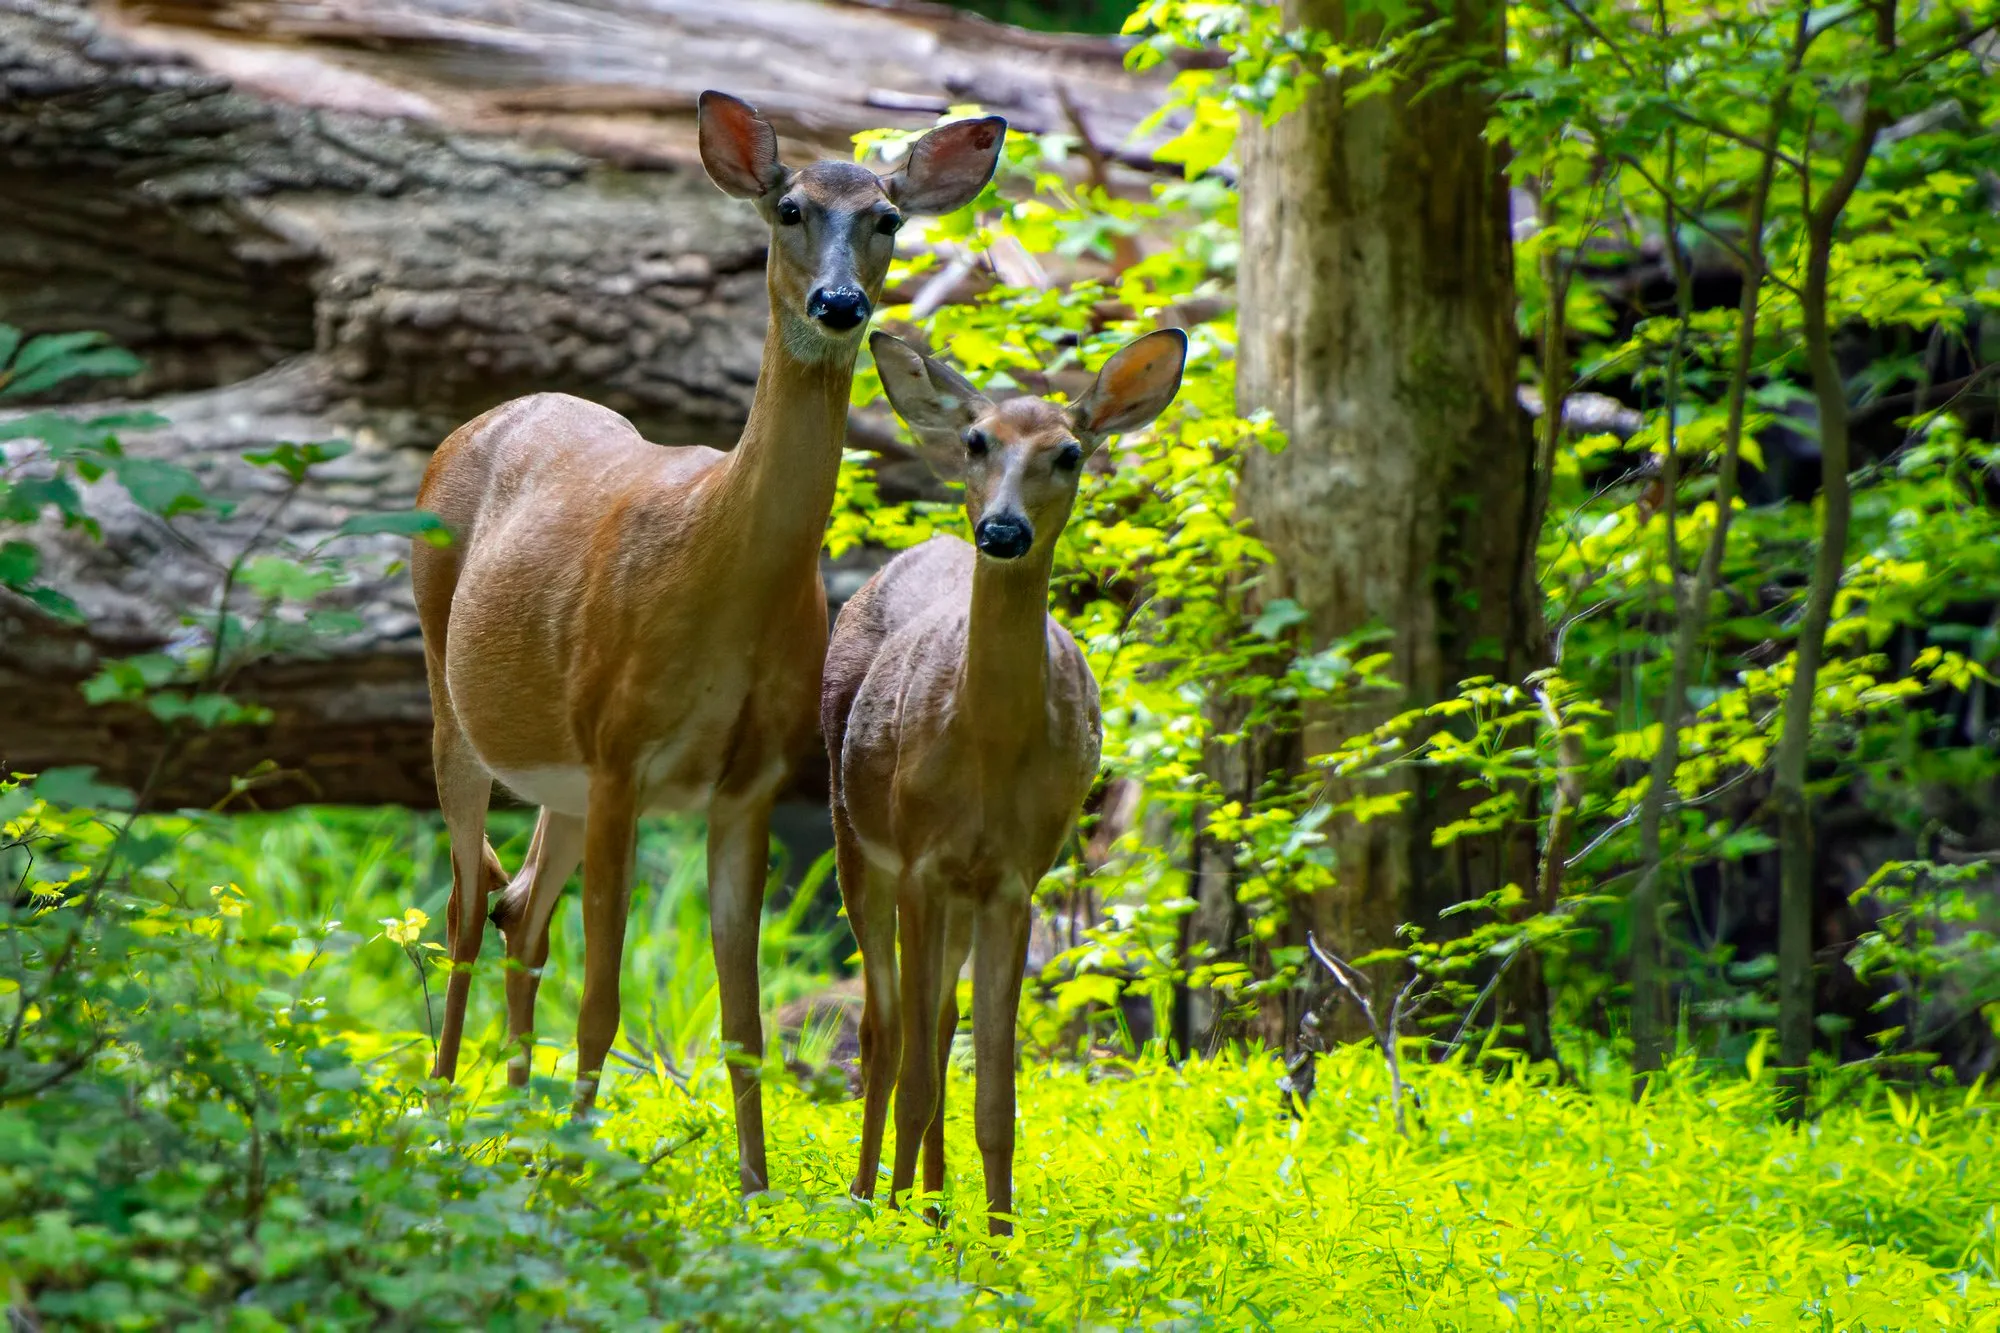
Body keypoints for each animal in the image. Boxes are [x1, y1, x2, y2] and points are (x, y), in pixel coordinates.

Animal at [408, 91, 1005, 1193]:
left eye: (887, 218)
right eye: (788, 206)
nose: (838, 304)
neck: (717, 575)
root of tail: (478, 421)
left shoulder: (748, 780)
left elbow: (746, 1021)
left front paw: (756, 1191)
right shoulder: (620, 752)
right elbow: (603, 1002)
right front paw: (576, 1172)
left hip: (559, 770)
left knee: (521, 906)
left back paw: (510, 1126)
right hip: (452, 696)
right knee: (470, 902)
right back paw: (443, 1115)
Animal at [822, 326, 1188, 1233]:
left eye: (1069, 452)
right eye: (976, 440)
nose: (1004, 529)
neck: (985, 749)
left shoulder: (1016, 875)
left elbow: (998, 1094)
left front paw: (994, 1237)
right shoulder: (919, 861)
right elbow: (917, 1071)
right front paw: (899, 1227)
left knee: (937, 1021)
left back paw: (929, 1200)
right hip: (855, 840)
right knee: (884, 1031)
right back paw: (869, 1197)